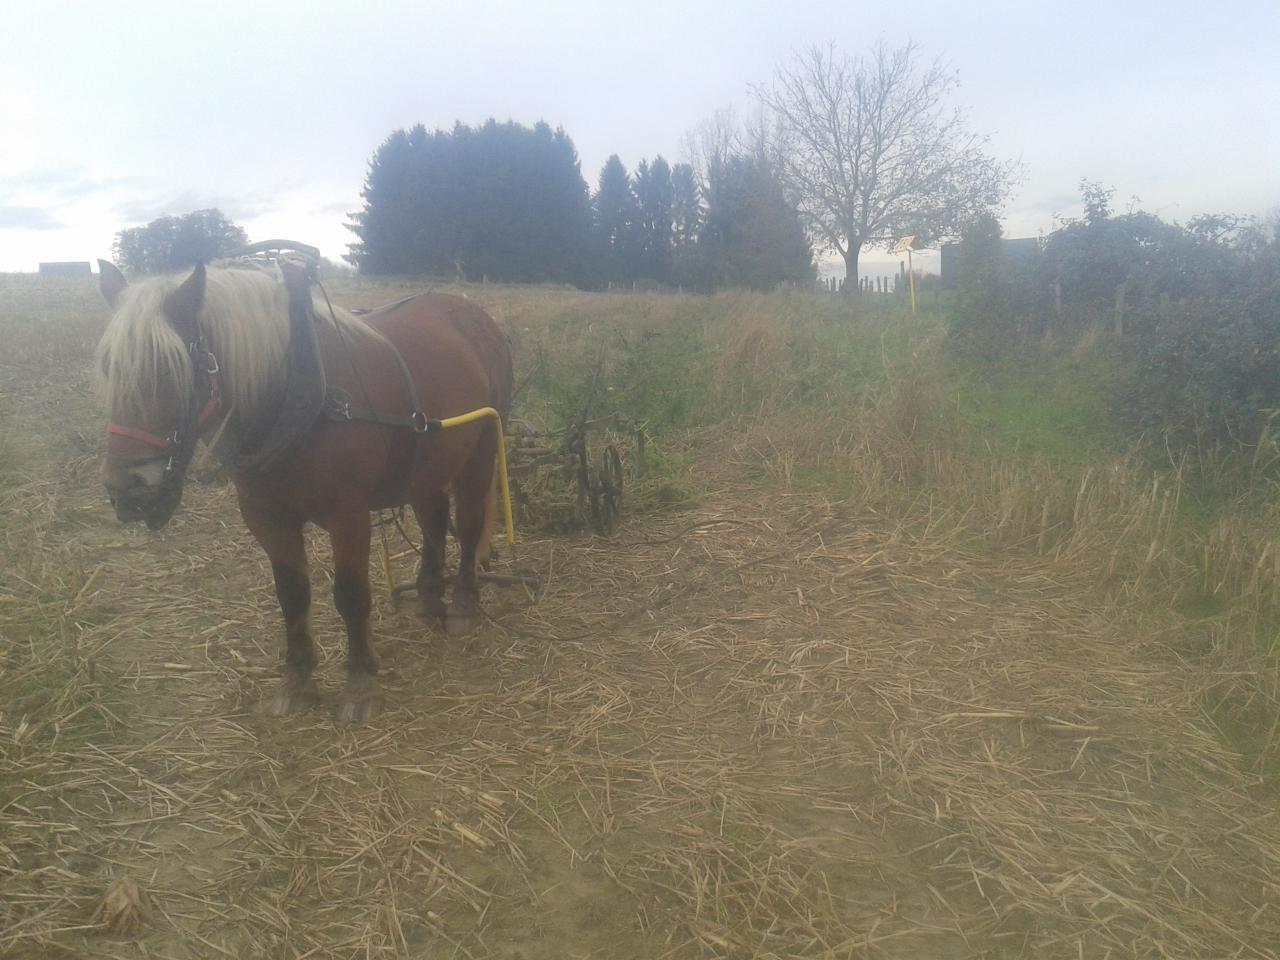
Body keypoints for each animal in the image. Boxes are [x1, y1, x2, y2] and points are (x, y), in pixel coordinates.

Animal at [97, 263, 512, 721]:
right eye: (110, 367)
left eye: (170, 370)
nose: (126, 491)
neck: (290, 389)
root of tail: (474, 314)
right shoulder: (266, 515)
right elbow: (292, 595)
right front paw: (297, 679)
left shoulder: (348, 515)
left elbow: (351, 595)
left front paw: (360, 681)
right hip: (429, 461)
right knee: (434, 520)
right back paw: (428, 598)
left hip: (480, 451)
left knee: (470, 523)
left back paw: (463, 605)